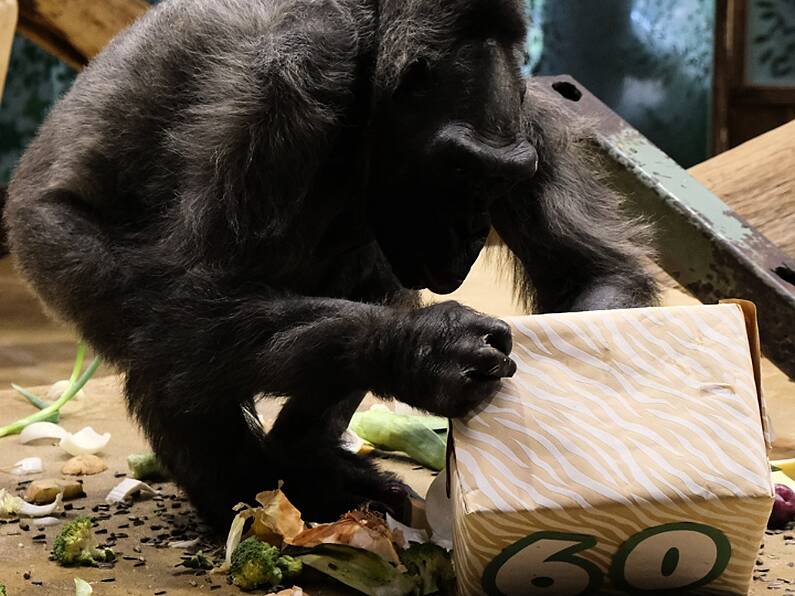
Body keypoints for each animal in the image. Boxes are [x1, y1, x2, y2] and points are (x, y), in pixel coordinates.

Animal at [1, 0, 660, 528]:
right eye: (460, 170)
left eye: (501, 178)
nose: (475, 226)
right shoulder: (283, 89)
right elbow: (194, 296)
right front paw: (425, 348)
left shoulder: (532, 123)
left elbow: (591, 272)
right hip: (51, 245)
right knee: (166, 341)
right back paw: (245, 496)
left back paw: (307, 460)